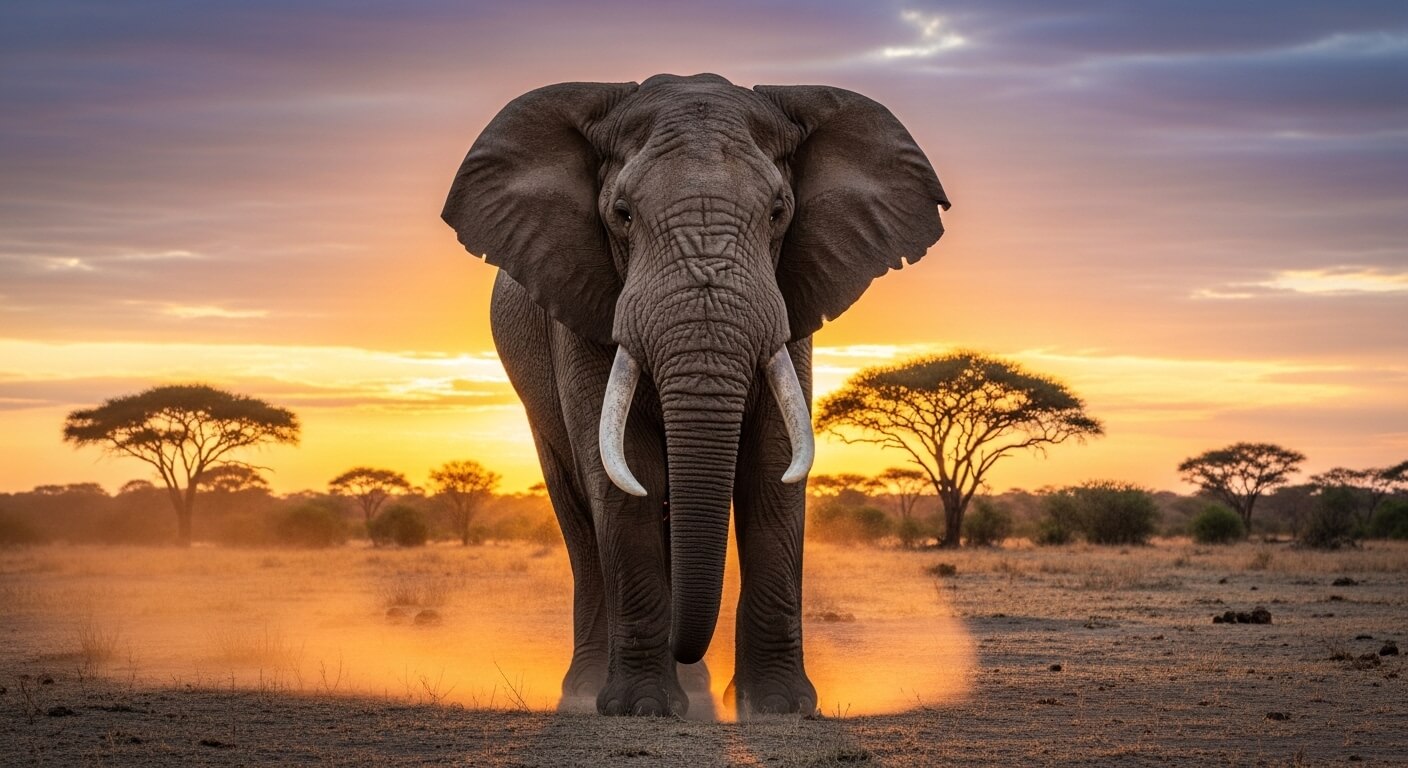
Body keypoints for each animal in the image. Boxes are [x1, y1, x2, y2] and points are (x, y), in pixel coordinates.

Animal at [441, 73, 948, 717]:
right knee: (579, 510)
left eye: (779, 212)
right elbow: (627, 477)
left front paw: (777, 708)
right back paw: (586, 692)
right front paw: (642, 709)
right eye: (622, 215)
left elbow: (771, 469)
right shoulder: (582, 301)